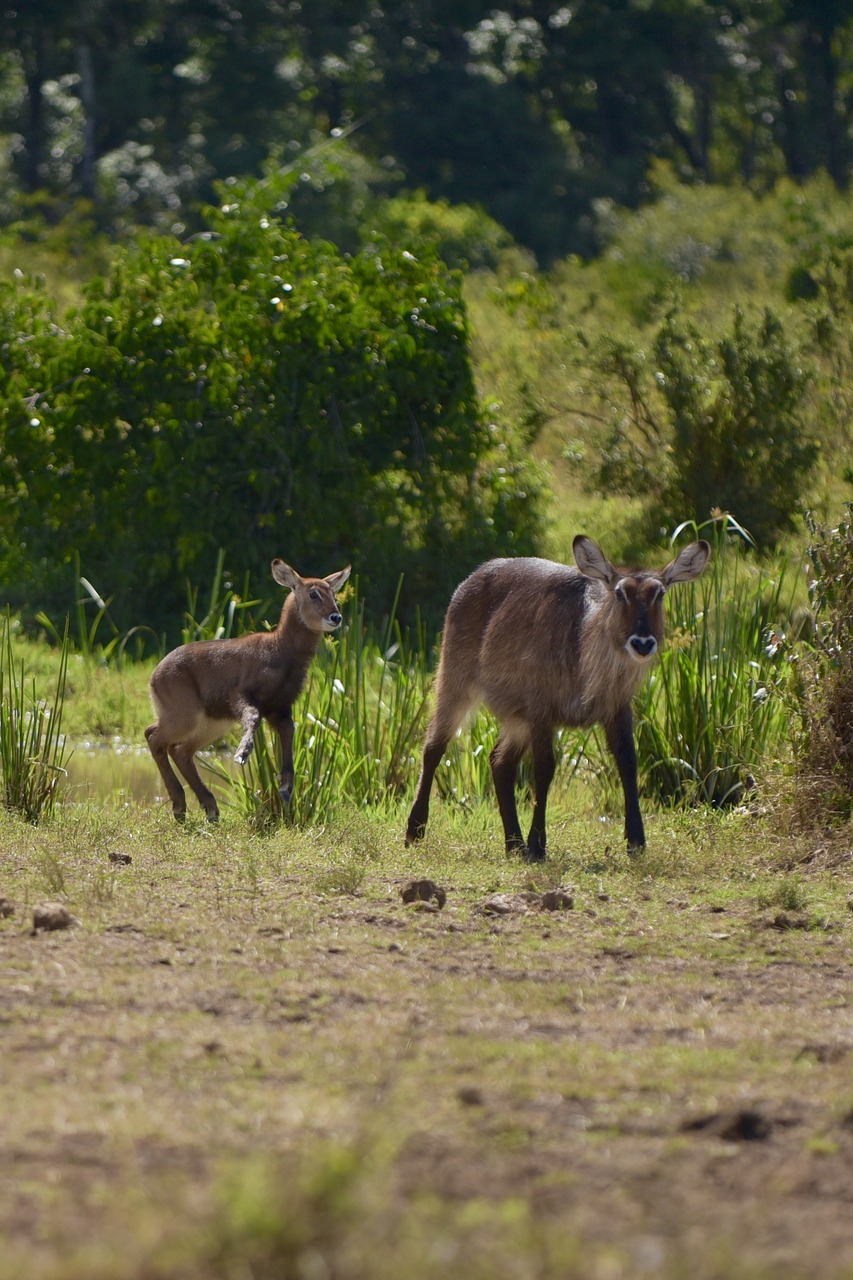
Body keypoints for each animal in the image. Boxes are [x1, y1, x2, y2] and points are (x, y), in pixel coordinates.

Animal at [146, 560, 348, 819]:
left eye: (333, 593)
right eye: (314, 593)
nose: (336, 617)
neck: (280, 651)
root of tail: (154, 676)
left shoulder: (281, 707)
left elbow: (289, 732)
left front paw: (286, 785)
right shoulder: (242, 694)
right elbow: (253, 718)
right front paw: (242, 754)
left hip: (210, 723)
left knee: (179, 749)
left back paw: (208, 809)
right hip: (186, 716)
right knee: (154, 737)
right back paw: (181, 807)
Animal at [402, 529, 706, 860]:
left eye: (659, 593)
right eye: (619, 592)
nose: (642, 643)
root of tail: (476, 575)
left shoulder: (617, 708)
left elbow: (628, 763)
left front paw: (636, 840)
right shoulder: (540, 711)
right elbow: (545, 770)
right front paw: (538, 845)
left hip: (516, 718)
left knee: (499, 763)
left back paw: (514, 844)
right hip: (455, 678)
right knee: (433, 747)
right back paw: (415, 830)